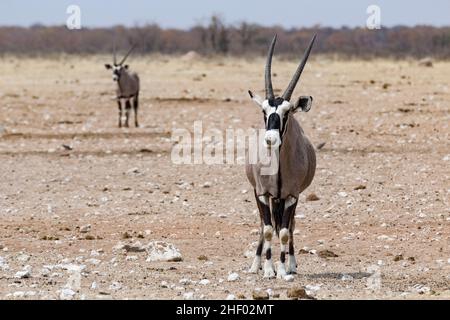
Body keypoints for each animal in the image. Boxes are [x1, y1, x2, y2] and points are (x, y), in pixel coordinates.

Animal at [246, 34, 316, 278]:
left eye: (287, 112)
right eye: (264, 111)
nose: (270, 139)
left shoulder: (292, 195)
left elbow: (285, 231)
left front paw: (283, 269)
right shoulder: (262, 193)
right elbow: (268, 229)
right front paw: (268, 269)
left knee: (291, 226)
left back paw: (292, 264)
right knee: (262, 225)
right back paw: (255, 264)